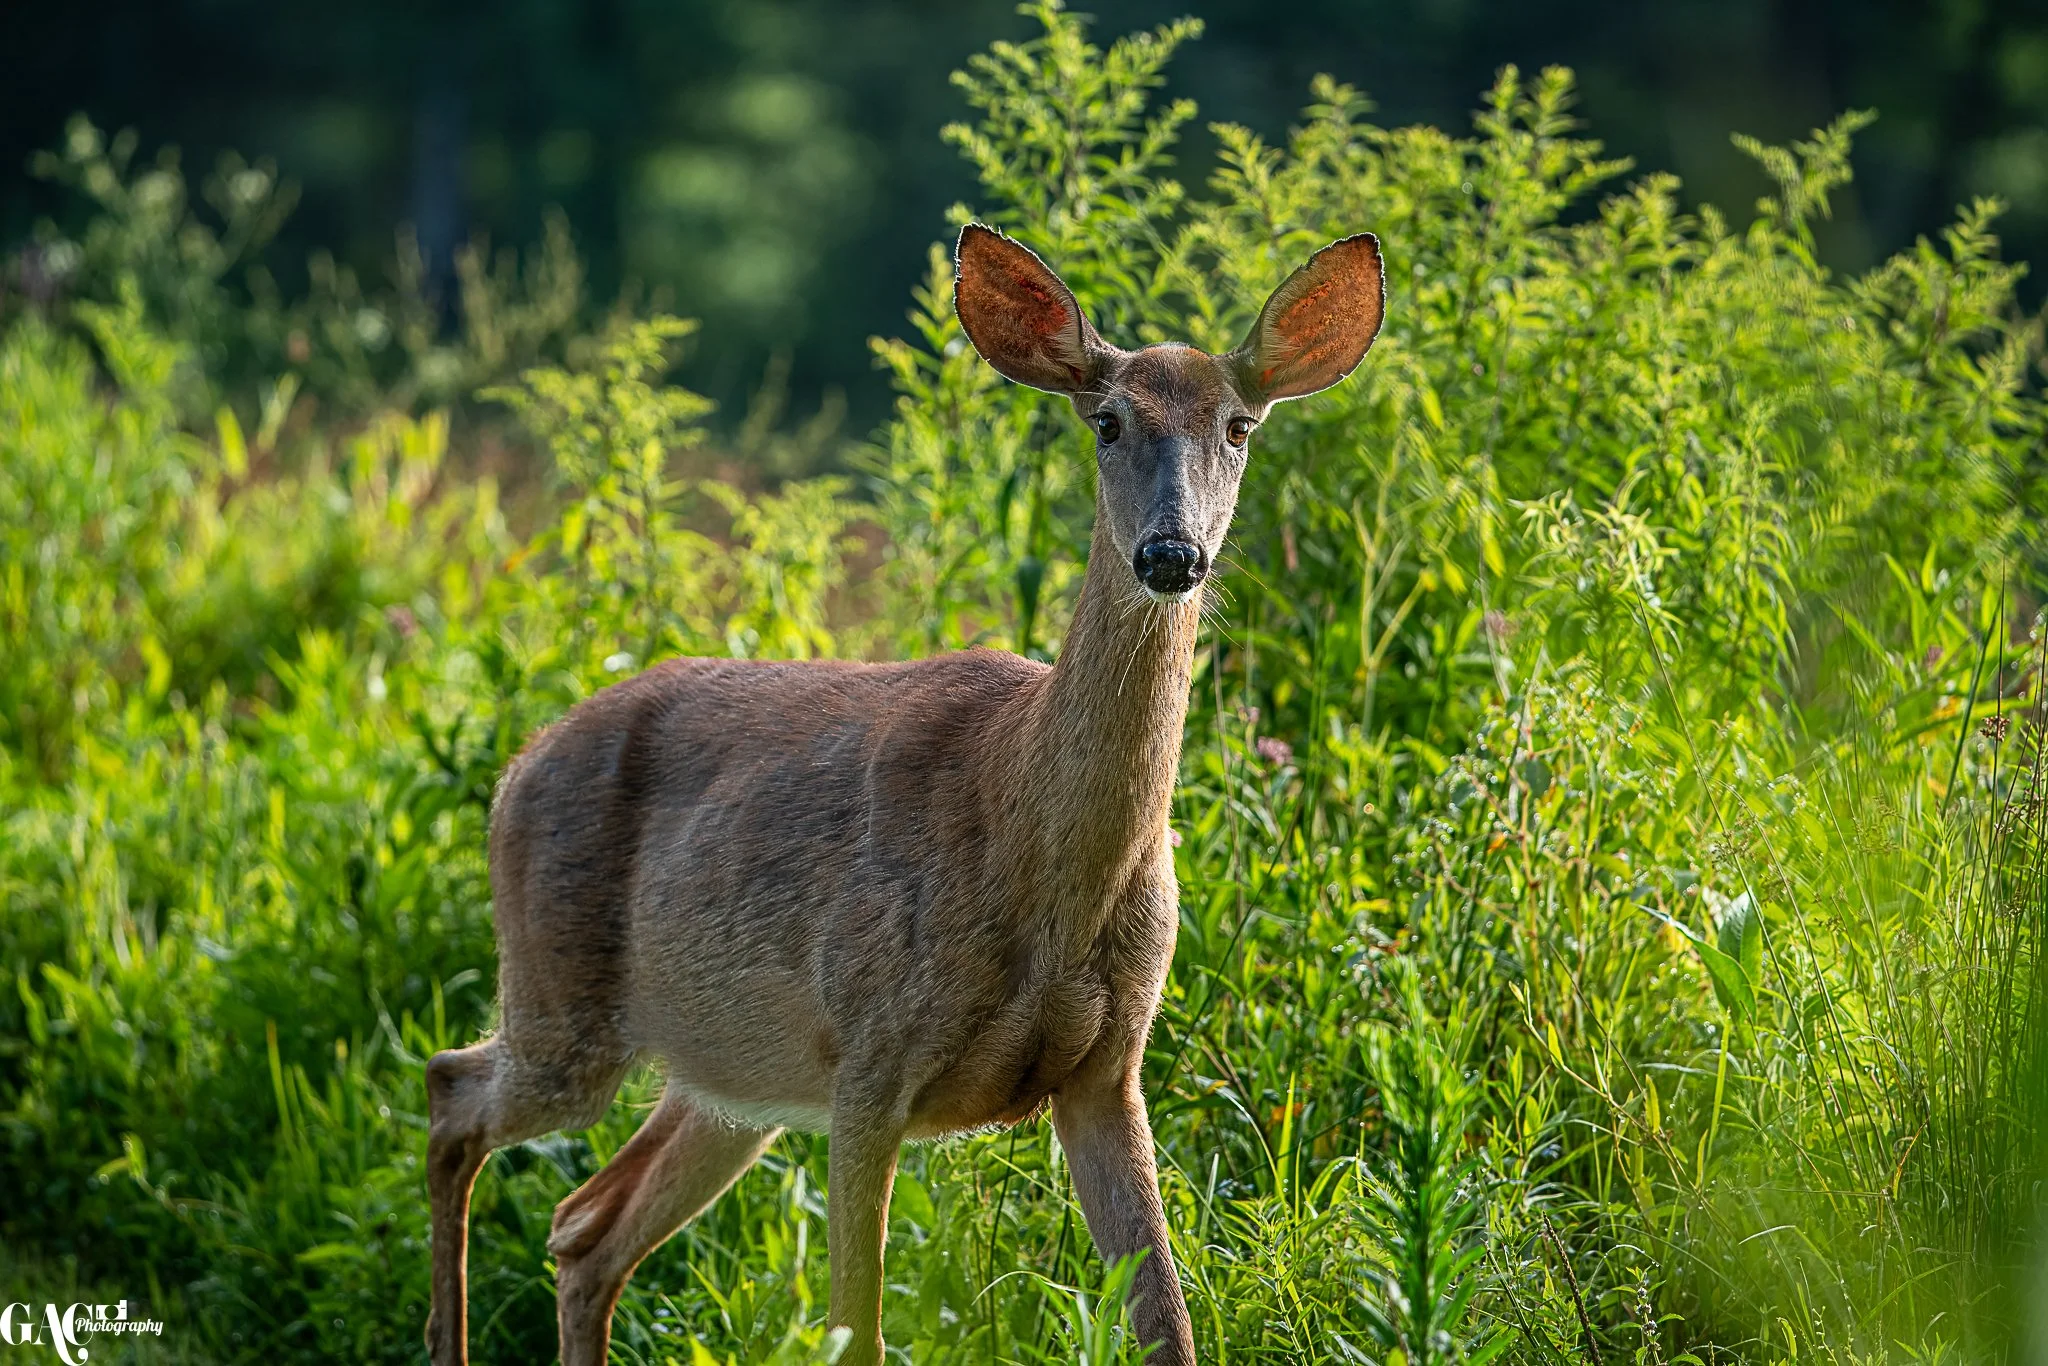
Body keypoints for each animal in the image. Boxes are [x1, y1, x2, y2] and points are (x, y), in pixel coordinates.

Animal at [423, 222, 1385, 1366]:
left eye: (1238, 425)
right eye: (1105, 420)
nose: (1169, 553)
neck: (1042, 869)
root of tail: (515, 769)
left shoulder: (1107, 1070)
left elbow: (1166, 1319)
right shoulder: (872, 1054)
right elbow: (858, 1326)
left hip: (735, 1078)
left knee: (585, 1227)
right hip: (564, 1002)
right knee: (451, 1094)